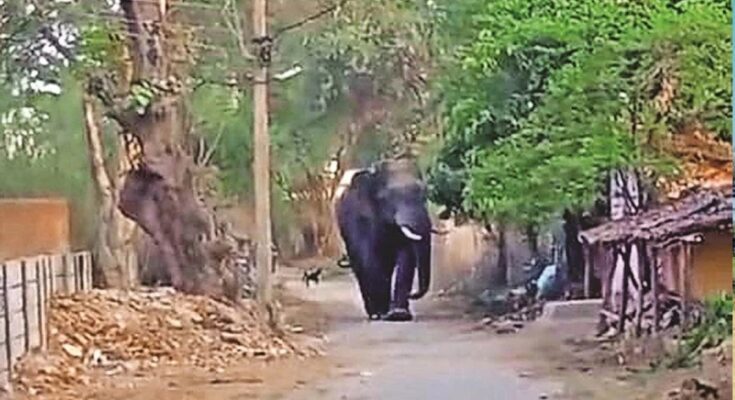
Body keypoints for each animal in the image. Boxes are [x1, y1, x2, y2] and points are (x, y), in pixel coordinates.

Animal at [334, 159, 432, 322]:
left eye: (424, 193)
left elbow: (406, 257)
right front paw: (381, 313)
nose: (412, 294)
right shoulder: (358, 216)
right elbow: (369, 258)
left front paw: (399, 314)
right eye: (388, 197)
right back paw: (374, 313)